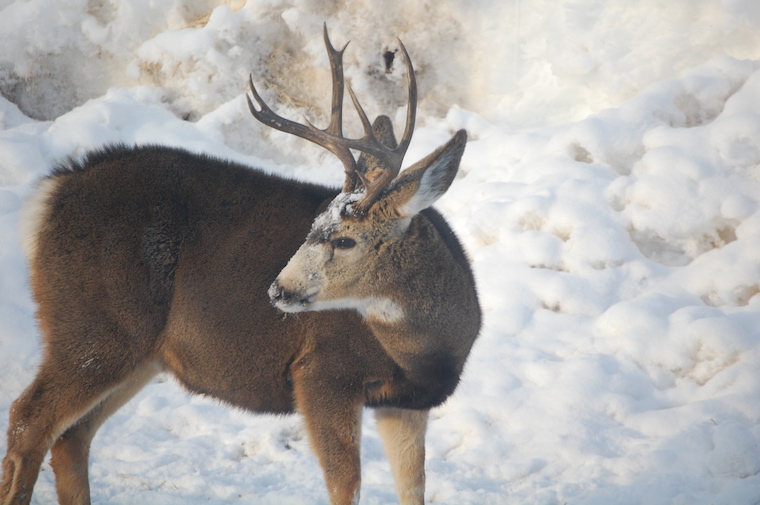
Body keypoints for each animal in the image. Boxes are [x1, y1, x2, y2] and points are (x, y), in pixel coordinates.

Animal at [0, 26, 480, 505]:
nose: (279, 290)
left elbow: (413, 488)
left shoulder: (407, 403)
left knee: (72, 436)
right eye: (314, 225)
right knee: (28, 421)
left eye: (345, 239)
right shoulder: (322, 372)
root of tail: (51, 193)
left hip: (141, 352)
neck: (425, 352)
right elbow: (346, 486)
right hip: (95, 325)